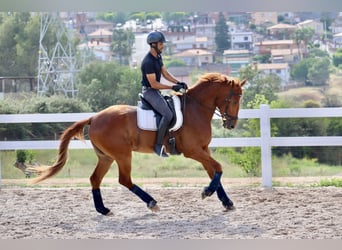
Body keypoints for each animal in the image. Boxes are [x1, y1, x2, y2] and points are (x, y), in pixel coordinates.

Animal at [30, 72, 244, 215]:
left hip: (106, 157)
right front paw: (207, 192)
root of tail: (94, 118)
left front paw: (226, 202)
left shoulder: (203, 149)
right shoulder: (193, 151)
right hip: (123, 154)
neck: (196, 109)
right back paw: (151, 202)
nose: (231, 124)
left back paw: (103, 209)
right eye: (234, 99)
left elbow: (214, 171)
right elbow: (218, 167)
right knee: (124, 180)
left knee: (95, 179)